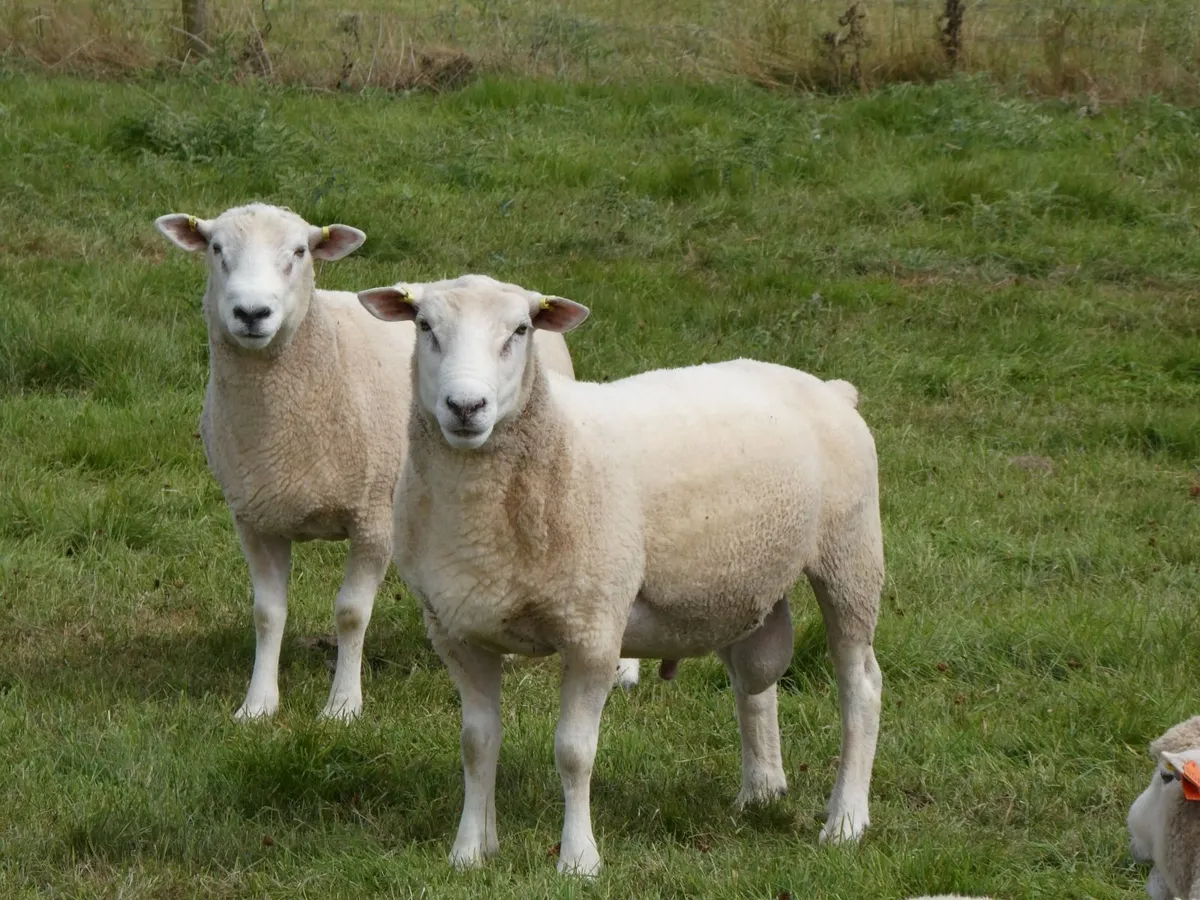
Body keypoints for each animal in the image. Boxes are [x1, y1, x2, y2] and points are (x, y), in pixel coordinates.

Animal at [155, 206, 629, 721]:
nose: (251, 313)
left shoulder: (372, 517)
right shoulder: (256, 518)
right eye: (216, 248)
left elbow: (350, 613)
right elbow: (267, 613)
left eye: (299, 251)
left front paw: (342, 706)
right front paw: (258, 704)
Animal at [357, 273, 884, 875]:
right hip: (738, 582)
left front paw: (578, 860)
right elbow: (476, 743)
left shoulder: (593, 631)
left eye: (521, 330)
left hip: (850, 557)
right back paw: (760, 791)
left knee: (861, 687)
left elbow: (573, 751)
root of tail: (831, 388)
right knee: (755, 683)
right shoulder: (457, 631)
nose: (466, 406)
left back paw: (845, 821)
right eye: (425, 326)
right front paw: (470, 851)